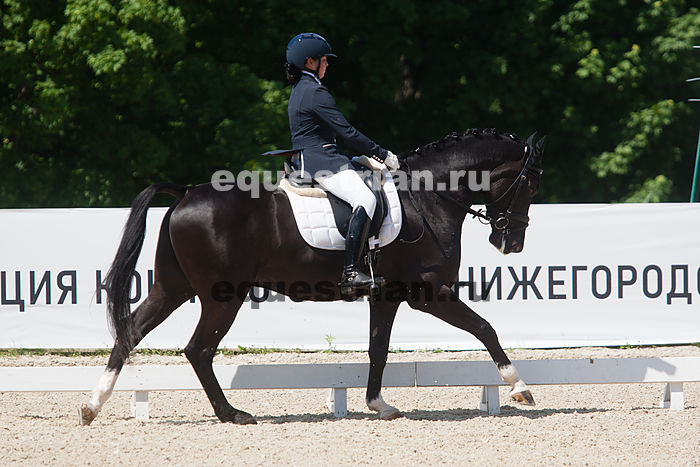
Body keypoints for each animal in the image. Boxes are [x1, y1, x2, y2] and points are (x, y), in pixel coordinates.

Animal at [78, 128, 545, 425]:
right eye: (530, 183)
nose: (511, 243)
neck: (428, 196)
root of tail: (186, 192)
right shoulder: (428, 292)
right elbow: (485, 328)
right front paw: (519, 387)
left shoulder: (387, 295)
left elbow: (378, 350)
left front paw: (379, 405)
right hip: (221, 296)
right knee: (198, 350)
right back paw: (232, 415)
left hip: (172, 287)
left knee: (131, 332)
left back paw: (92, 406)